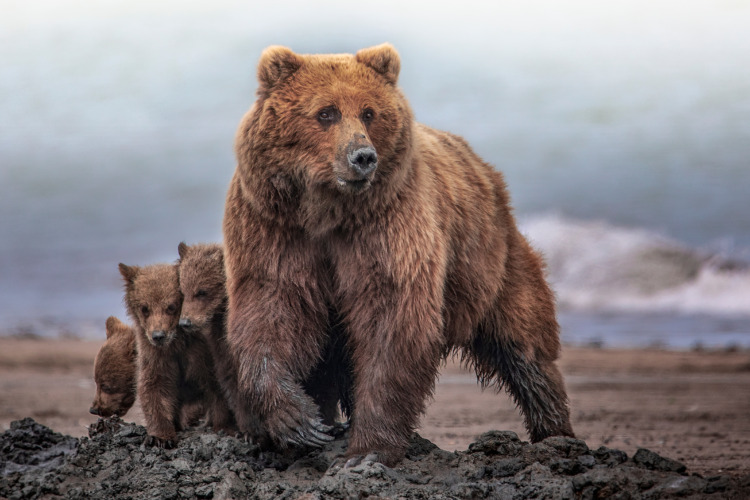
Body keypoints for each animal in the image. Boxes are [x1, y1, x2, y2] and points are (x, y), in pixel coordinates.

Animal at [223, 43, 576, 464]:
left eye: (369, 112)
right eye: (326, 112)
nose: (363, 156)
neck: (326, 212)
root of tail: (487, 170)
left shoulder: (387, 226)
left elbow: (391, 320)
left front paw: (367, 449)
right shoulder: (275, 228)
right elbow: (272, 309)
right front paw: (301, 422)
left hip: (491, 260)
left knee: (524, 344)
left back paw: (554, 432)